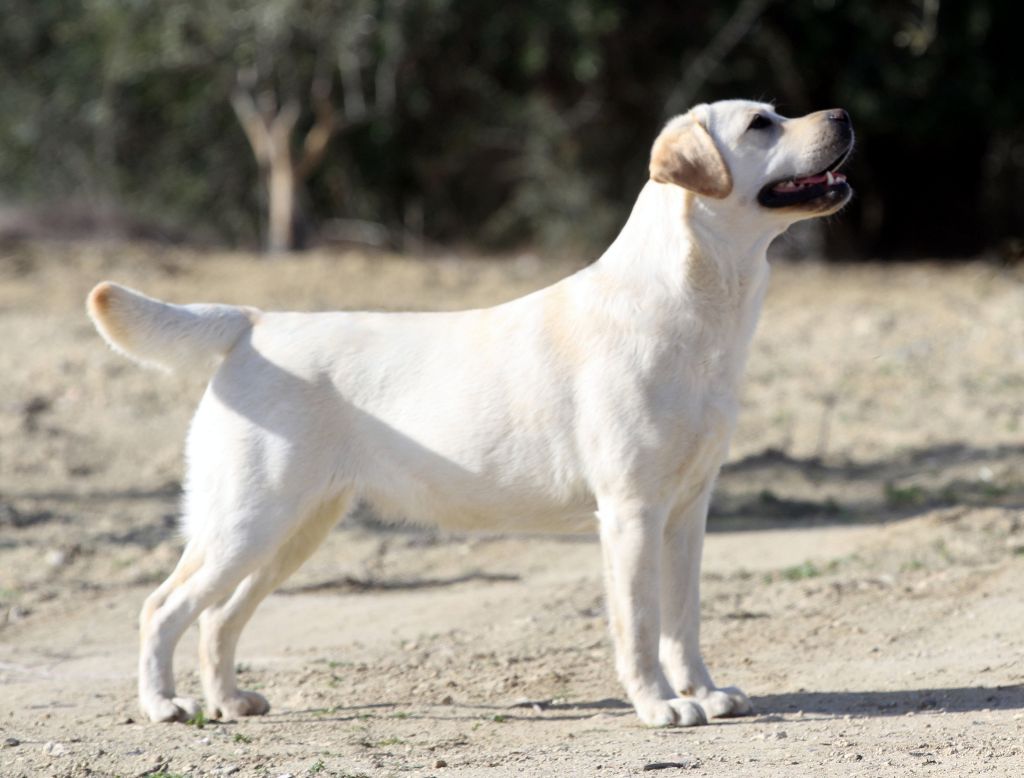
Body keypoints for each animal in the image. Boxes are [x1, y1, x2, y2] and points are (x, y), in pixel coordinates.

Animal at [88, 100, 851, 724]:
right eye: (761, 124)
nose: (842, 115)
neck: (694, 306)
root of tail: (253, 322)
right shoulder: (631, 511)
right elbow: (638, 624)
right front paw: (660, 706)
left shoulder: (688, 510)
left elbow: (683, 621)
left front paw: (705, 693)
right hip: (246, 522)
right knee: (163, 608)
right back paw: (165, 706)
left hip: (295, 529)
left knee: (218, 618)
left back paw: (231, 701)